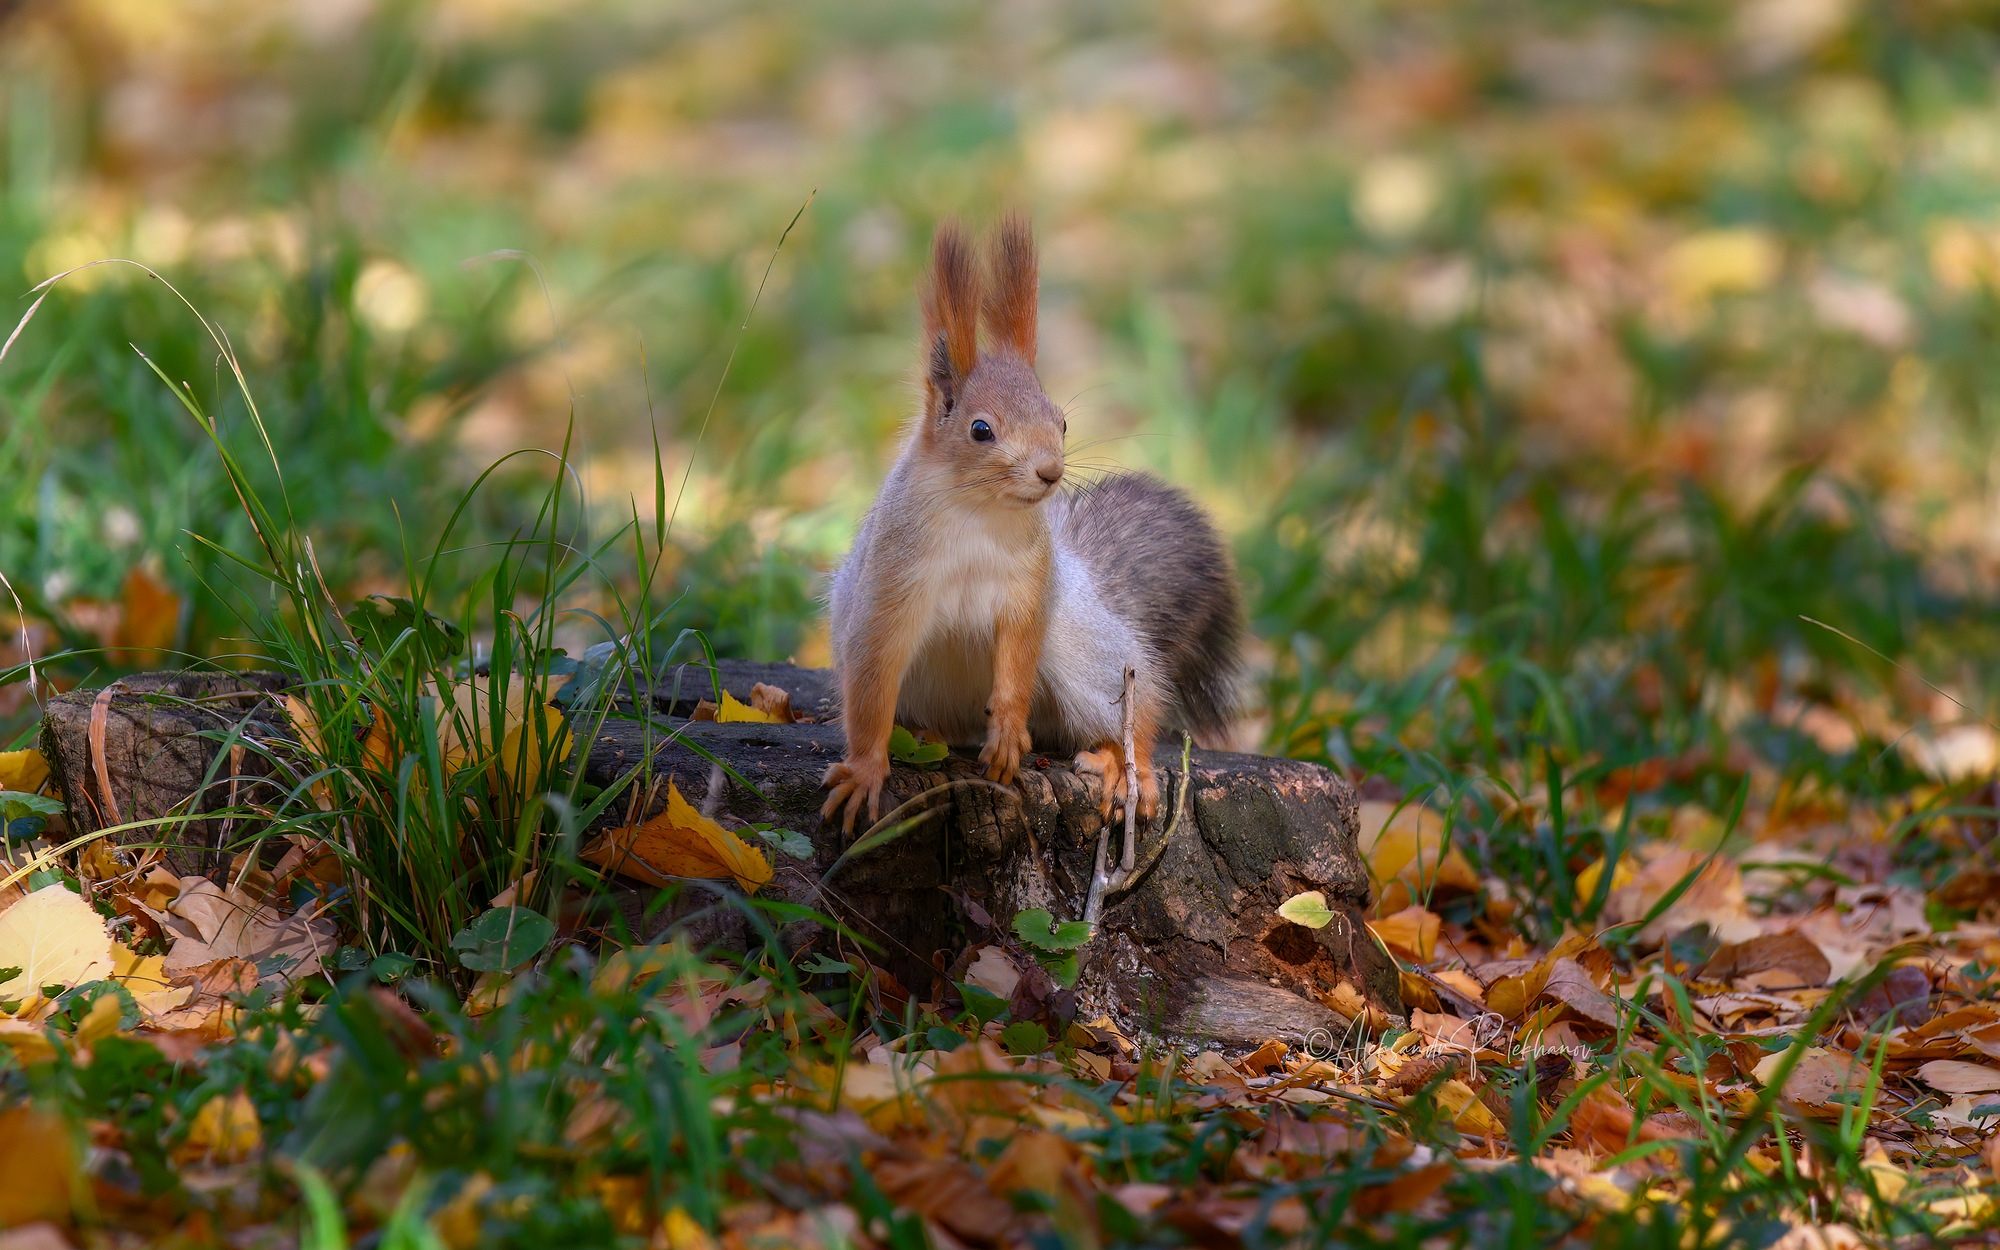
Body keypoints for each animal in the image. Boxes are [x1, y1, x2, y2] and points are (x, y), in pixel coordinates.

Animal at [812, 214, 1232, 832]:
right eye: (980, 430)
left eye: (1062, 421)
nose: (1050, 471)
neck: (981, 515)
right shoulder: (889, 586)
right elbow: (871, 686)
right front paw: (864, 771)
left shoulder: (1029, 584)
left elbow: (1016, 659)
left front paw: (1009, 734)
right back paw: (923, 734)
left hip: (1080, 643)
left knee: (1138, 707)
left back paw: (1124, 765)